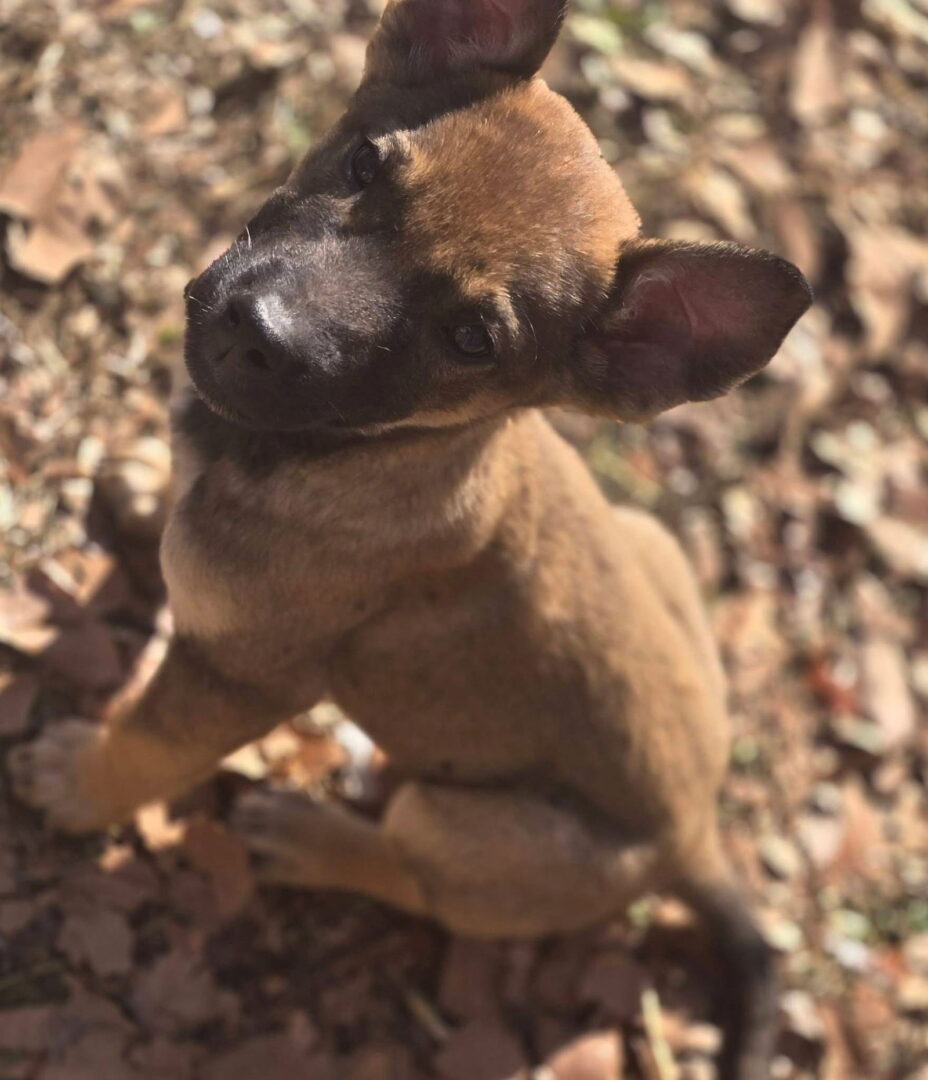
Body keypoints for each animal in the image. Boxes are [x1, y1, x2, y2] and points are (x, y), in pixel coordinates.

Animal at [11, 1, 812, 1076]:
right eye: (362, 165)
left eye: (471, 339)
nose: (257, 331)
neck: (351, 452)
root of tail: (697, 836)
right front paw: (147, 493)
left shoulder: (239, 676)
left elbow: (149, 741)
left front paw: (80, 781)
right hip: (651, 537)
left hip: (466, 827)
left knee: (413, 875)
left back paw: (310, 837)